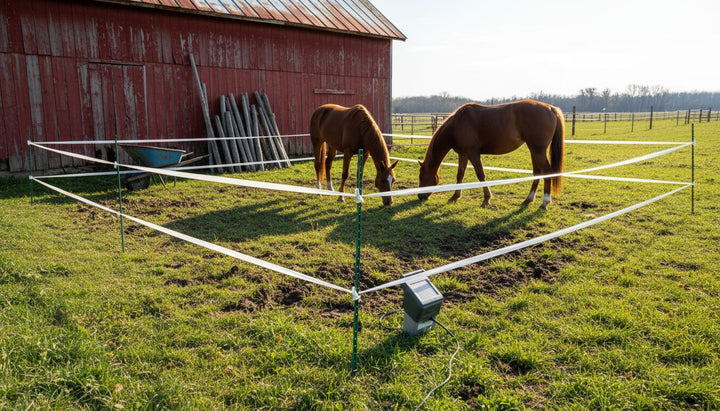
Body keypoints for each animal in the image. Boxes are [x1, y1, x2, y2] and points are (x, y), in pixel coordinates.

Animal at [418, 99, 565, 209]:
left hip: (538, 150)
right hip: (534, 150)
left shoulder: (473, 153)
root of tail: (550, 108)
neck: (457, 124)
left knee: (547, 172)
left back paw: (545, 202)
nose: (420, 196)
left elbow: (481, 175)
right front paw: (455, 196)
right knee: (537, 172)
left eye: (421, 177)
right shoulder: (463, 154)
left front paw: (486, 199)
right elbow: (460, 175)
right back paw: (528, 199)